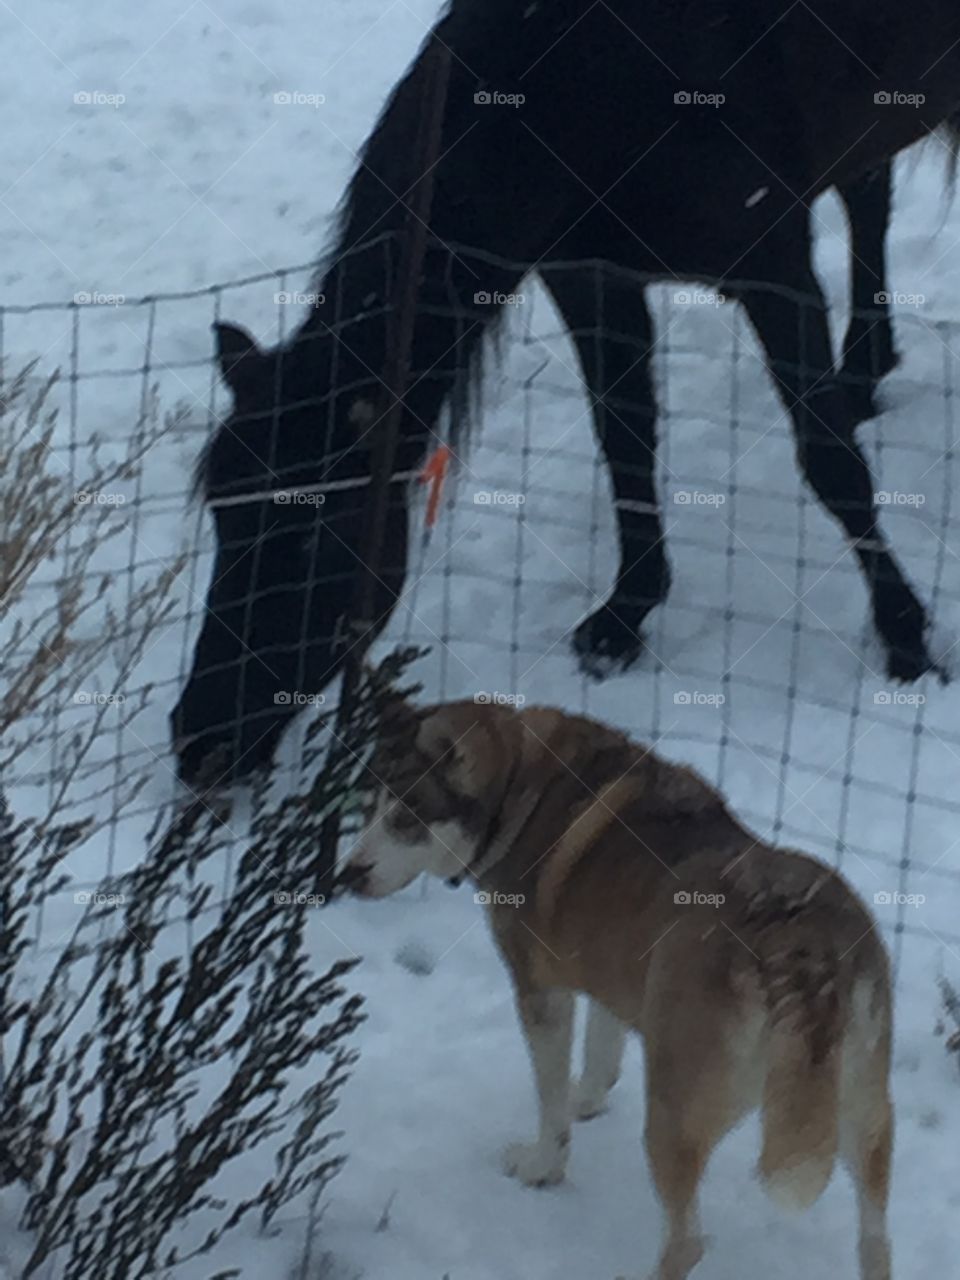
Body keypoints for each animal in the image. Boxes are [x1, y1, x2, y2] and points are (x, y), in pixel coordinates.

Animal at [175, 0, 960, 778]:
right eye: (221, 516)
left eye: (314, 539)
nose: (198, 742)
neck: (586, 81)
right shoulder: (590, 279)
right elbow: (625, 438)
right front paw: (624, 615)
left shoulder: (773, 270)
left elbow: (832, 465)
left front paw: (907, 640)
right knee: (869, 193)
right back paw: (865, 367)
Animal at [343, 701, 896, 1280]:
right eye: (367, 807)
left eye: (405, 817)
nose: (347, 874)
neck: (521, 780)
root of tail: (797, 940)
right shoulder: (613, 965)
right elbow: (601, 1052)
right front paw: (589, 1098)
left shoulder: (540, 992)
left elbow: (551, 1102)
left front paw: (543, 1164)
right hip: (865, 1114)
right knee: (874, 1241)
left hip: (674, 1115)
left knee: (687, 1242)